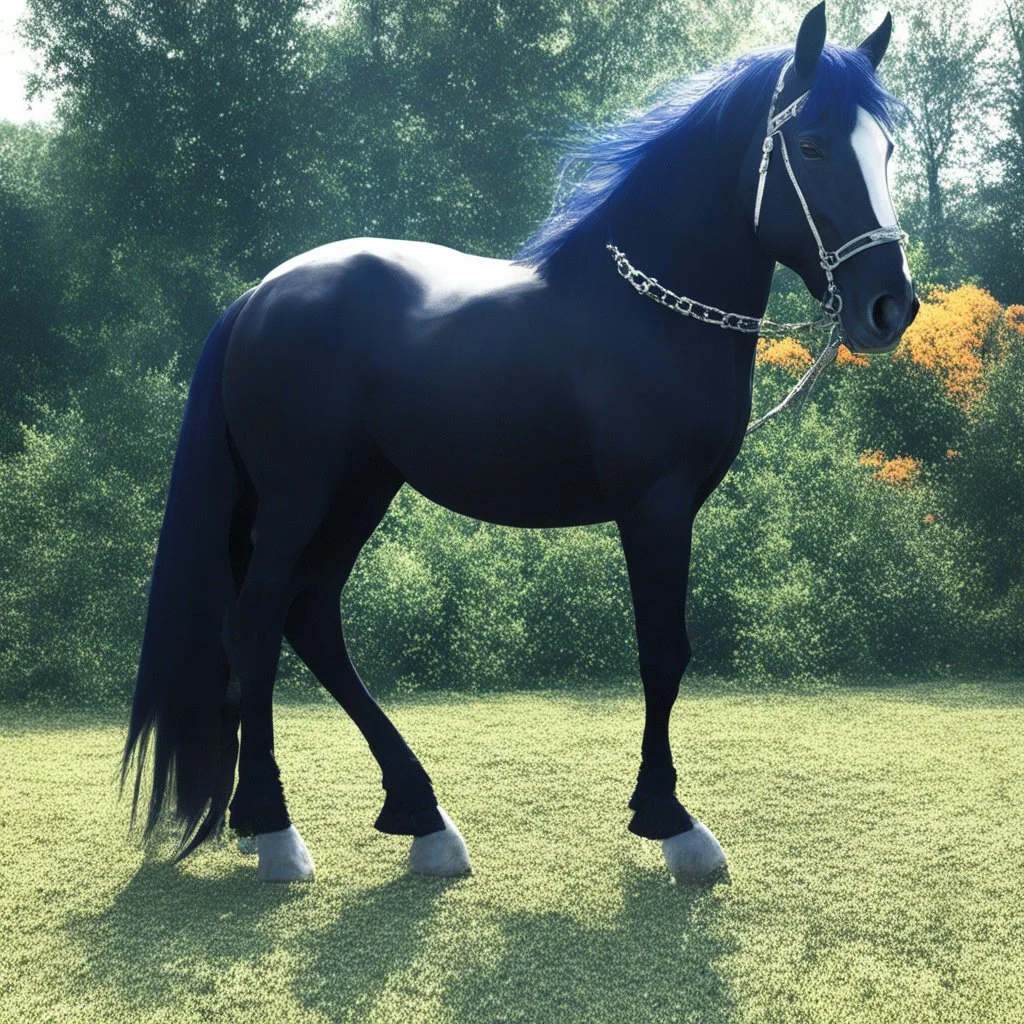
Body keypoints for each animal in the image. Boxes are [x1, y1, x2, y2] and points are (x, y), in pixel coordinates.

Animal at [123, 2, 917, 884]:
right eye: (810, 145)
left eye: (885, 148)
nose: (890, 306)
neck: (646, 310)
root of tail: (259, 295)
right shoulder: (655, 508)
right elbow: (663, 652)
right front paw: (671, 822)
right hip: (300, 499)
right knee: (258, 621)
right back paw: (276, 831)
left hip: (360, 492)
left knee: (312, 618)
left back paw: (420, 818)